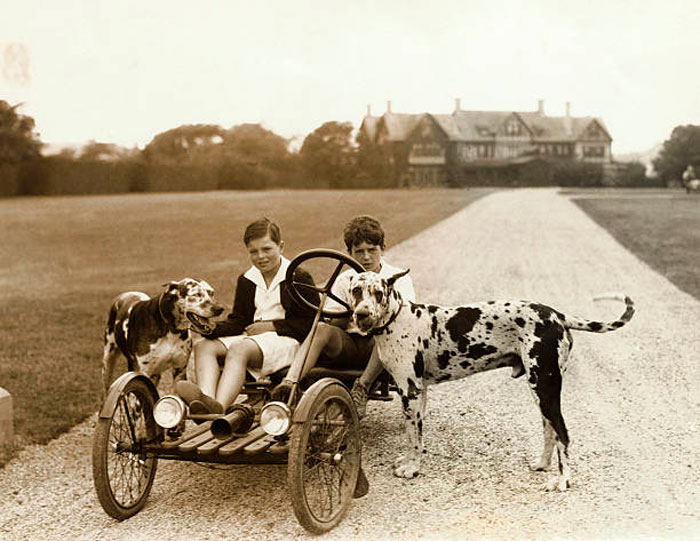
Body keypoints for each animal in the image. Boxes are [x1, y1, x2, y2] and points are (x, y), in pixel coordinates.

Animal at [346, 268, 636, 490]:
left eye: (378, 293)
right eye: (357, 291)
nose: (362, 314)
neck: (397, 320)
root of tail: (557, 315)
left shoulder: (411, 392)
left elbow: (415, 438)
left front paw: (412, 468)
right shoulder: (419, 393)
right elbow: (412, 437)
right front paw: (408, 460)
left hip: (545, 388)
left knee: (563, 435)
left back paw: (563, 481)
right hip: (542, 392)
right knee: (550, 431)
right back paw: (542, 465)